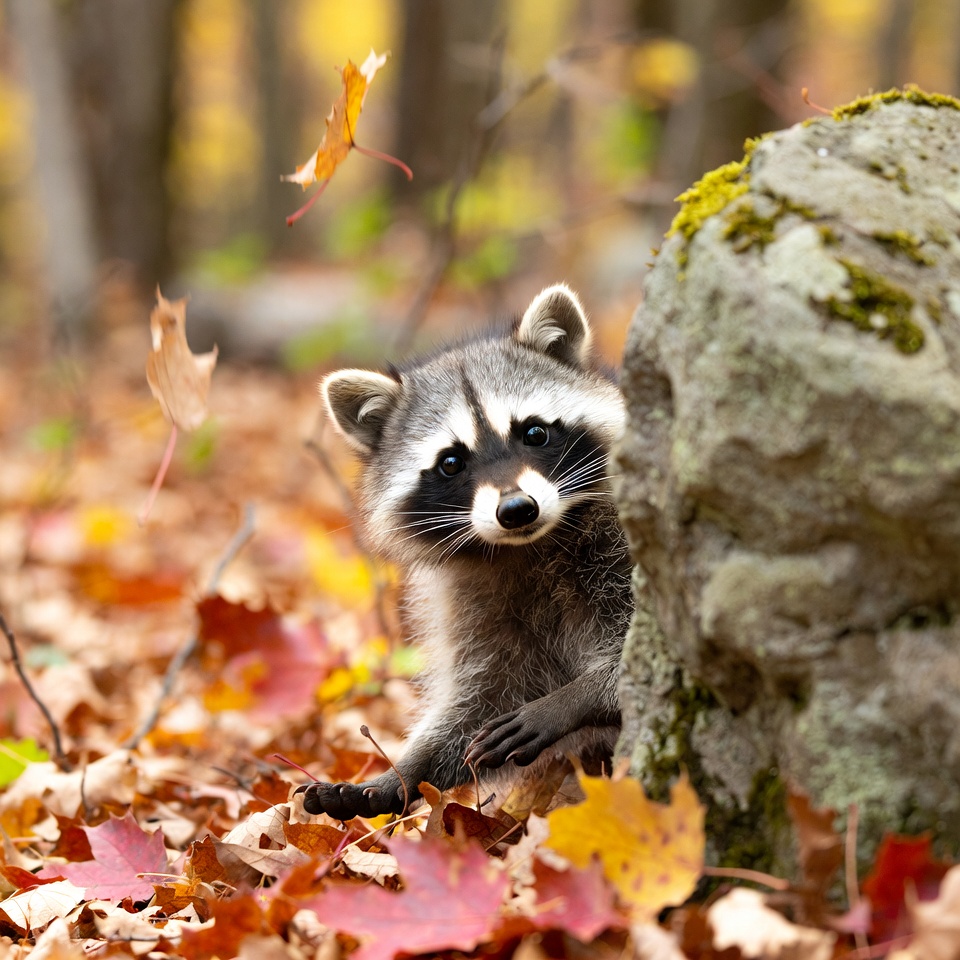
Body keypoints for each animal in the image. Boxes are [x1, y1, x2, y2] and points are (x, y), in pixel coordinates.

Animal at [298, 284, 632, 820]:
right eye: (451, 462)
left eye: (533, 432)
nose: (516, 509)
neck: (531, 547)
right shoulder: (477, 604)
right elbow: (481, 696)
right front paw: (398, 776)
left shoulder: (625, 543)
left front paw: (572, 698)